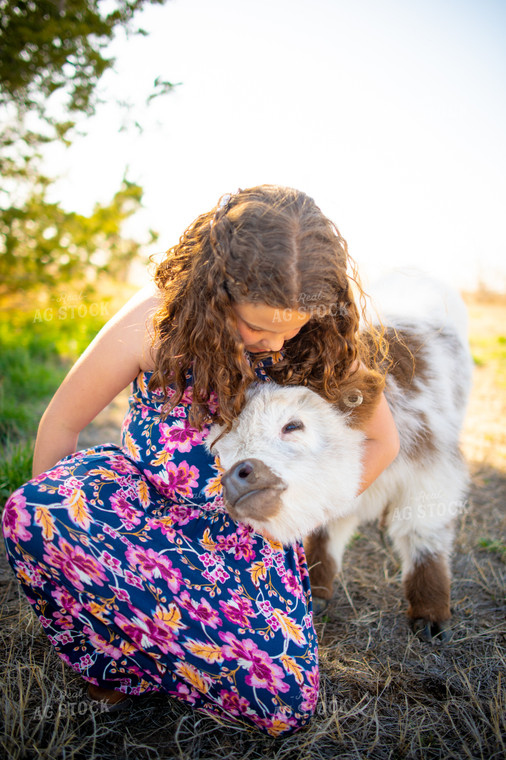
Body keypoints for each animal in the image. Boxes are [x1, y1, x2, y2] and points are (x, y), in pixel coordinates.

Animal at [205, 274, 470, 640]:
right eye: (222, 452)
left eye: (293, 425)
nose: (238, 476)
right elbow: (324, 534)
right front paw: (318, 592)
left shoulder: (431, 474)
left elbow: (424, 536)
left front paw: (431, 617)